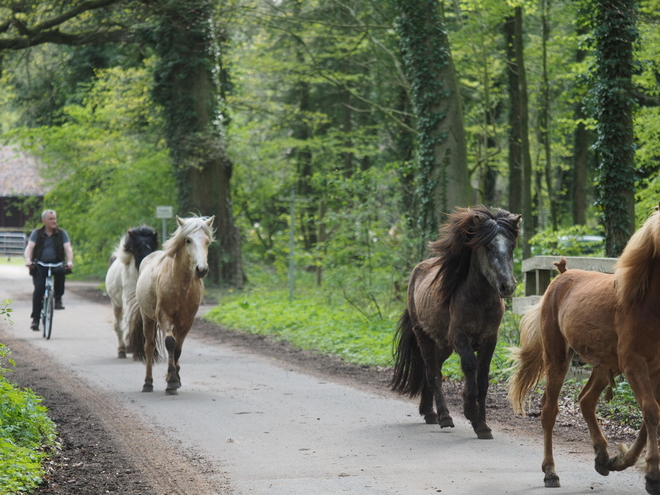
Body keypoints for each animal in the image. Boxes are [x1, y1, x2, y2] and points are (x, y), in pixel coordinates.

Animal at [105, 227, 158, 358]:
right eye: (138, 249)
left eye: (151, 248)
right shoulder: (129, 300)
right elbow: (130, 319)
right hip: (116, 304)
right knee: (119, 325)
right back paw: (122, 349)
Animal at [131, 216, 217, 396]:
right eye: (188, 240)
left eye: (207, 241)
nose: (201, 269)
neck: (180, 286)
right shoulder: (164, 316)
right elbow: (170, 343)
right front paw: (171, 381)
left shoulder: (187, 321)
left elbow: (177, 348)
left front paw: (175, 379)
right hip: (147, 318)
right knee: (149, 347)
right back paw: (147, 383)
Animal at [392, 207, 520, 440]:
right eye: (488, 246)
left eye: (511, 246)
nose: (507, 286)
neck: (479, 299)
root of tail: (418, 270)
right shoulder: (461, 337)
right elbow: (470, 366)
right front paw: (470, 411)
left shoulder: (490, 339)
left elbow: (482, 378)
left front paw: (482, 426)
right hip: (424, 336)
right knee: (432, 373)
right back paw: (444, 416)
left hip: (444, 344)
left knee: (434, 368)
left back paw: (429, 412)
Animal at [510, 203, 660, 494]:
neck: (645, 303)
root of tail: (562, 275)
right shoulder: (634, 365)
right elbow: (650, 411)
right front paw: (652, 474)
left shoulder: (655, 369)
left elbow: (650, 416)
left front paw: (622, 460)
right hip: (558, 358)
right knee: (549, 411)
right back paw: (551, 472)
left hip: (603, 365)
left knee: (586, 400)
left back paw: (602, 457)